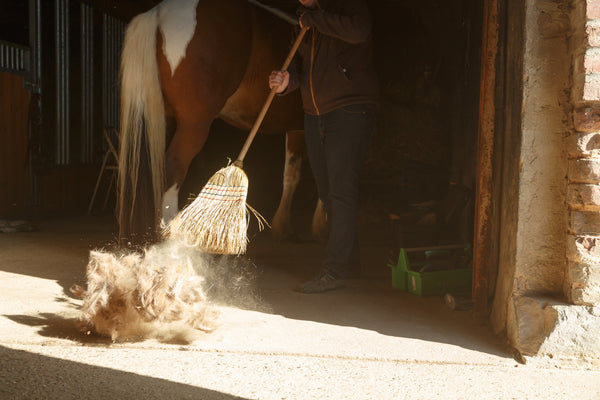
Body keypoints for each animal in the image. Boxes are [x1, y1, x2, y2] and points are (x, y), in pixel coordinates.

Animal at [115, 0, 326, 247]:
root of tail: (158, 14)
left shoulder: (298, 129)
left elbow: (291, 174)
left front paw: (283, 227)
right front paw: (321, 226)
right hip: (194, 125)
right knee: (173, 168)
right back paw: (169, 233)